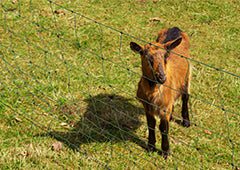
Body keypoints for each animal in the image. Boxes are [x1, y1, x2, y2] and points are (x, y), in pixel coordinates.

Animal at [130, 26, 190, 159]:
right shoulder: (147, 106)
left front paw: (165, 152)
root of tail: (175, 28)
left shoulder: (164, 108)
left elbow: (164, 128)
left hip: (187, 77)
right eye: (148, 58)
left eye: (166, 56)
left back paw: (186, 122)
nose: (162, 77)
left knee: (186, 97)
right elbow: (151, 124)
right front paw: (151, 146)